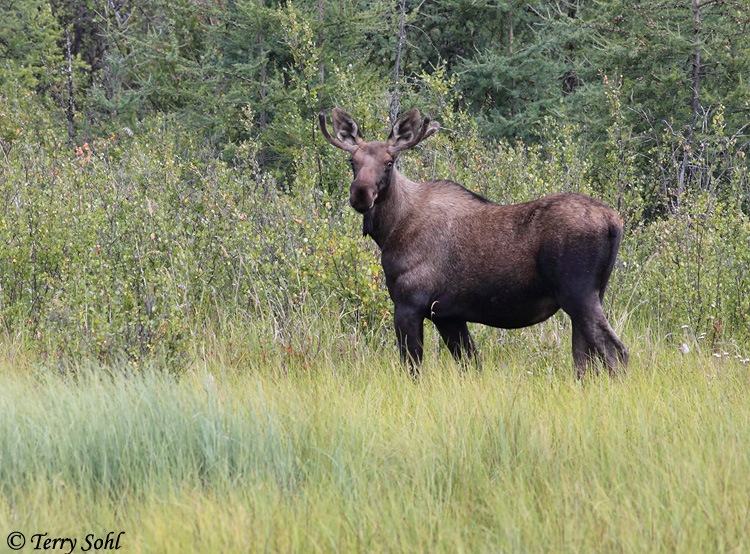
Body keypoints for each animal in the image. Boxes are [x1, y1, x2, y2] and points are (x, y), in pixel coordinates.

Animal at [319, 107, 628, 377]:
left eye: (389, 162)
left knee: (616, 352)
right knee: (584, 360)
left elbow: (413, 369)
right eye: (352, 162)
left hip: (578, 293)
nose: (360, 193)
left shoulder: (409, 304)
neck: (390, 231)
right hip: (592, 295)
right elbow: (471, 364)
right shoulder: (447, 315)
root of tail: (614, 221)